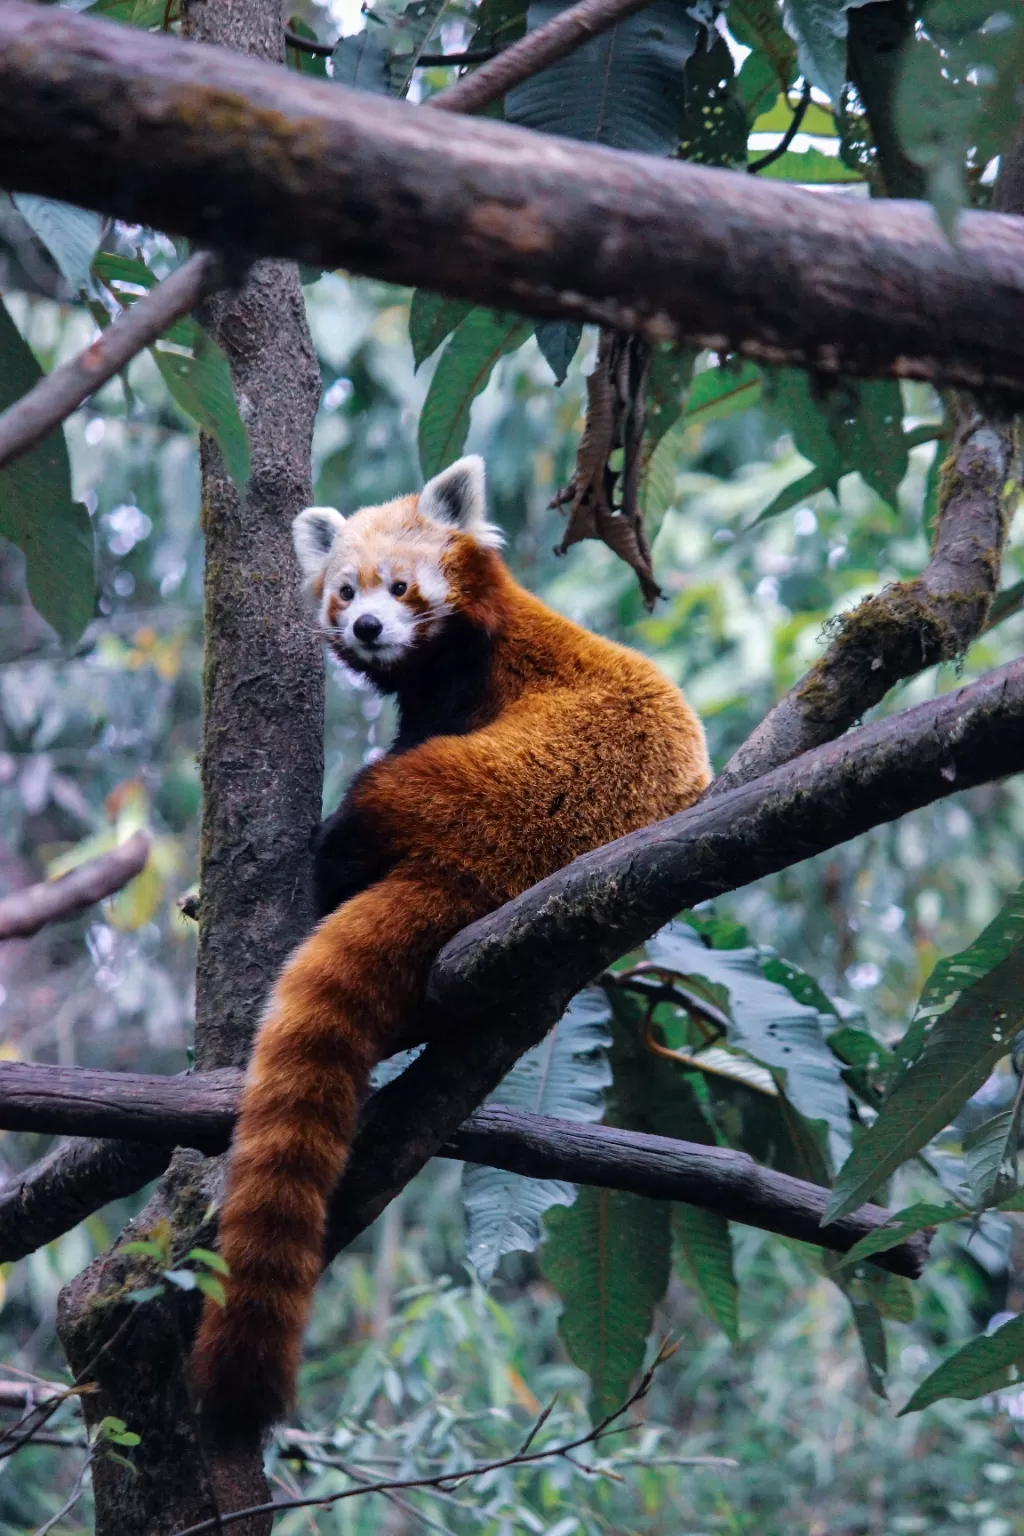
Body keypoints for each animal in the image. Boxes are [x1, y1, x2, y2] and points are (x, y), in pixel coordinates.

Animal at [188, 451, 709, 1437]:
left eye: (400, 587)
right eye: (344, 589)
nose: (366, 626)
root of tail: (491, 869)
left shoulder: (465, 688)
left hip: (487, 783)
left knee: (372, 805)